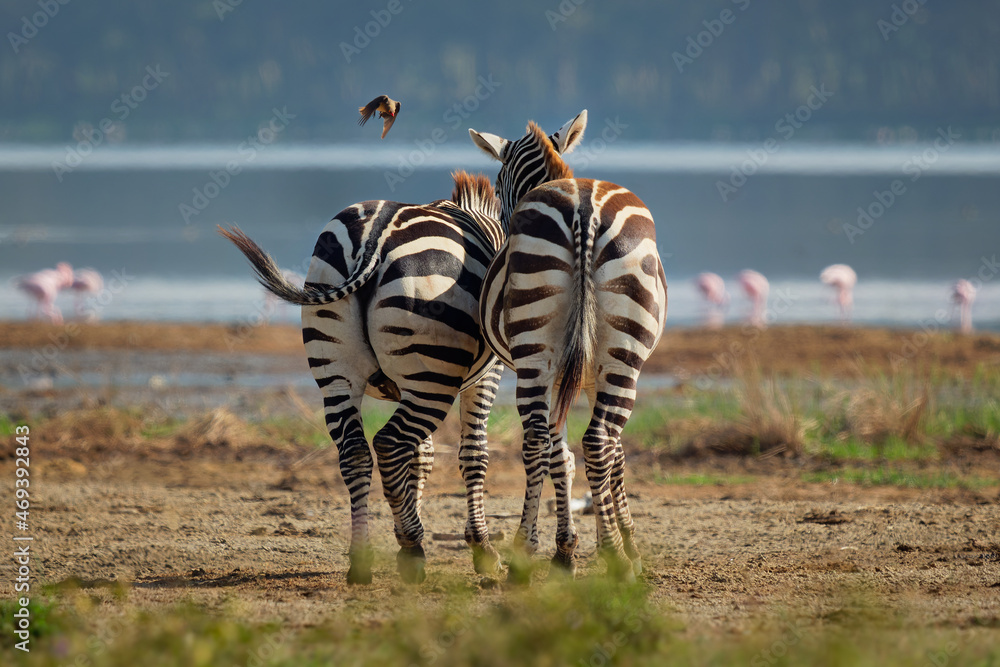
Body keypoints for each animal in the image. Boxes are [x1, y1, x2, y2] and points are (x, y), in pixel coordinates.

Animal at [219, 171, 506, 584]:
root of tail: (376, 235)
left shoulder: (405, 387)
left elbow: (422, 458)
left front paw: (406, 523)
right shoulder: (486, 376)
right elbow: (473, 454)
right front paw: (481, 548)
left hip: (339, 370)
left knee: (355, 450)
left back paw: (362, 560)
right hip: (432, 378)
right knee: (389, 444)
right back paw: (413, 552)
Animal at [469, 111, 668, 580]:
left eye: (498, 182)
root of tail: (584, 209)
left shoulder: (583, 374)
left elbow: (577, 454)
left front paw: (580, 545)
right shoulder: (588, 375)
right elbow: (604, 454)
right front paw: (610, 542)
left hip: (544, 356)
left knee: (545, 440)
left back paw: (536, 553)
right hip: (607, 358)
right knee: (586, 441)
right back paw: (605, 555)